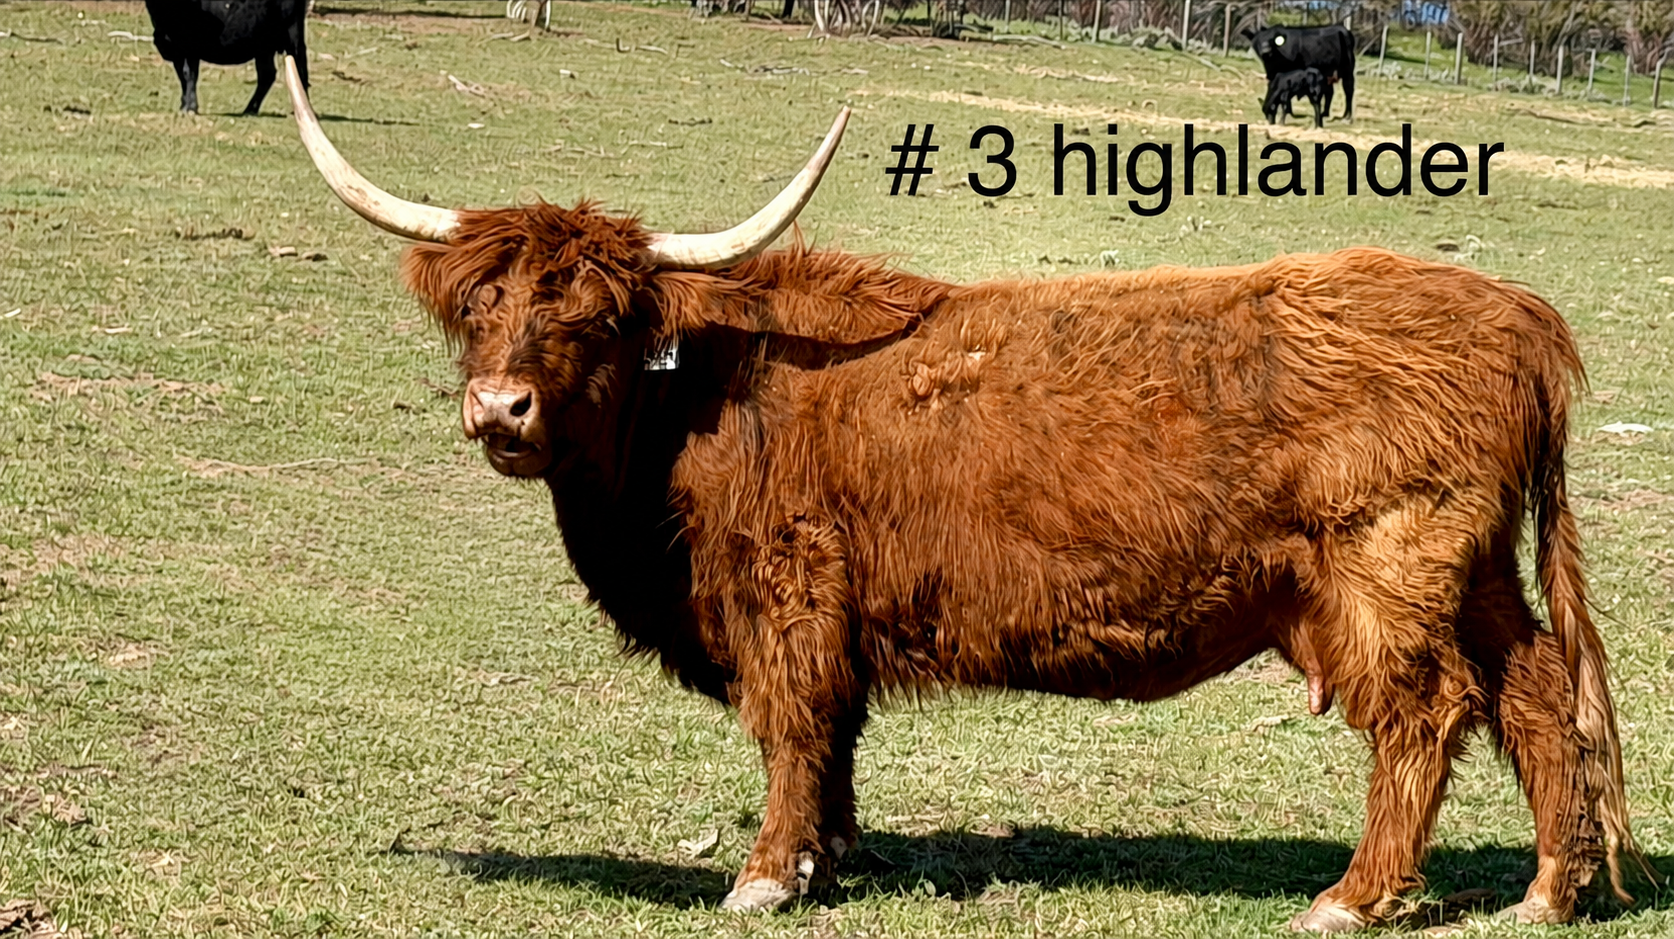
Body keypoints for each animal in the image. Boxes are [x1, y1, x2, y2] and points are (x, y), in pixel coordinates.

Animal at [144, 0, 309, 115]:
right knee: (267, 75)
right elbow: (183, 78)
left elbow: (189, 75)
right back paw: (250, 109)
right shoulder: (176, 51)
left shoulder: (191, 47)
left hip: (293, 33)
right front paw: (184, 106)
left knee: (299, 68)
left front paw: (190, 108)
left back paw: (301, 108)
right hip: (263, 46)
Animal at [278, 58, 1646, 932]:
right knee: (1535, 690)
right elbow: (832, 739)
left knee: (1424, 712)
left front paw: (765, 875)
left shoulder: (787, 585)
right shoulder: (828, 608)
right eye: (484, 303)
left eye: (598, 319)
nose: (500, 410)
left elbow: (791, 725)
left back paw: (1354, 899)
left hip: (1390, 564)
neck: (695, 405)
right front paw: (832, 858)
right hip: (1475, 568)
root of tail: (1512, 310)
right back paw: (1547, 892)